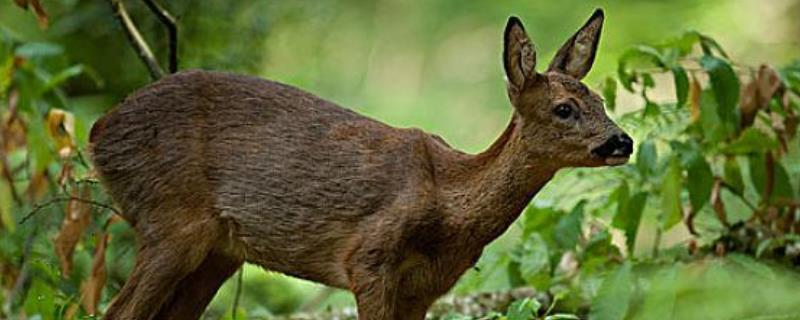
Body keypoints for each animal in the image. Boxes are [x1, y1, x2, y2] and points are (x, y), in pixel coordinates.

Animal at [89, 8, 632, 320]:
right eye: (564, 108)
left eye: (602, 100)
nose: (622, 142)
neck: (451, 208)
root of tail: (97, 132)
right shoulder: (368, 259)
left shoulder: (426, 287)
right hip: (169, 219)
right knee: (118, 312)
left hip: (219, 252)